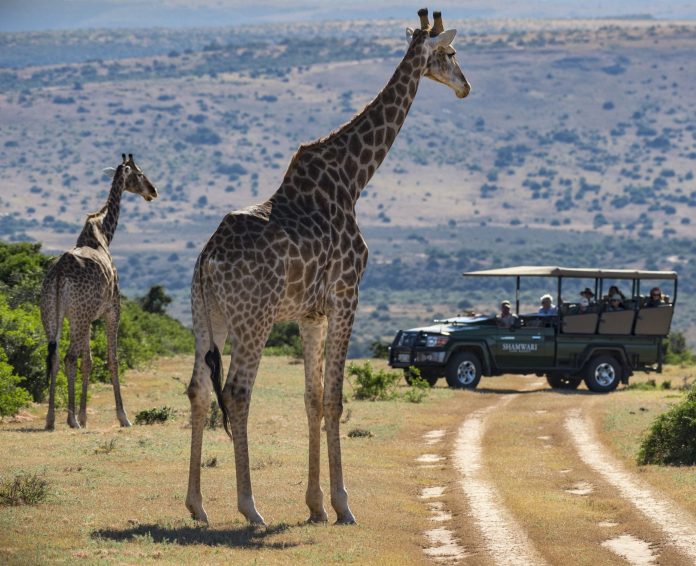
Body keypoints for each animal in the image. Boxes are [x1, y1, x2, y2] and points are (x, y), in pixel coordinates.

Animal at [40, 154, 158, 430]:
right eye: (139, 173)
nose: (153, 191)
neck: (102, 233)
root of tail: (59, 272)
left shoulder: (89, 318)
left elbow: (89, 361)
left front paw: (84, 415)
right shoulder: (112, 310)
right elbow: (112, 359)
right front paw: (123, 417)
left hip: (53, 314)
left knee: (54, 356)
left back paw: (51, 419)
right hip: (79, 316)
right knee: (69, 357)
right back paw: (70, 419)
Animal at [186, 8, 470, 525]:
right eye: (451, 53)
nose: (466, 86)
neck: (353, 179)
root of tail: (207, 261)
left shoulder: (309, 313)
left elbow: (313, 399)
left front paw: (316, 505)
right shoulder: (346, 295)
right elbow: (336, 398)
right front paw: (343, 505)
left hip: (206, 317)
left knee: (198, 389)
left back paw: (197, 505)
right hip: (253, 318)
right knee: (236, 391)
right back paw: (250, 508)